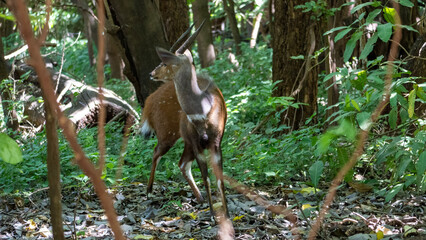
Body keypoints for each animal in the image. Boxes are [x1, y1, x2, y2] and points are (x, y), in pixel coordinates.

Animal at [141, 22, 230, 218]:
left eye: (165, 62)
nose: (151, 73)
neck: (203, 110)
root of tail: (149, 102)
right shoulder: (197, 144)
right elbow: (206, 178)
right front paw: (213, 215)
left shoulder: (216, 142)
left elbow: (219, 178)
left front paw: (226, 213)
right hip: (168, 135)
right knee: (157, 153)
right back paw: (149, 191)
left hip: (184, 141)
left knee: (181, 163)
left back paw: (200, 198)